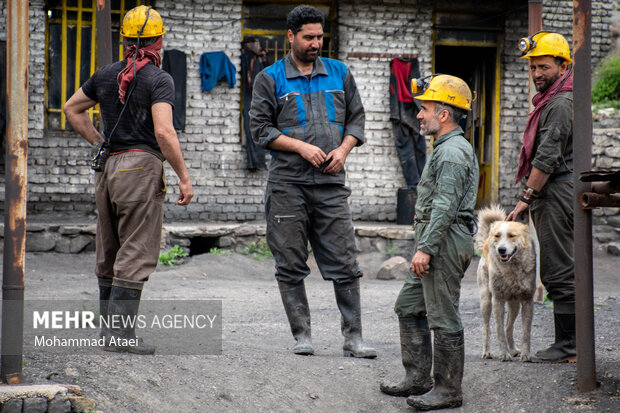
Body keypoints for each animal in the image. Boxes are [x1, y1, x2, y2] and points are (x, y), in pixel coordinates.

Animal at [474, 204, 536, 358]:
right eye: (497, 236)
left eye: (511, 236)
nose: (501, 250)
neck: (511, 270)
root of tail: (487, 240)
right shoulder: (498, 300)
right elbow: (499, 330)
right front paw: (504, 354)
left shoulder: (527, 300)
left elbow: (526, 332)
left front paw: (525, 355)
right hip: (486, 301)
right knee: (486, 327)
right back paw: (487, 352)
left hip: (514, 304)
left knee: (509, 326)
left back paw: (513, 350)